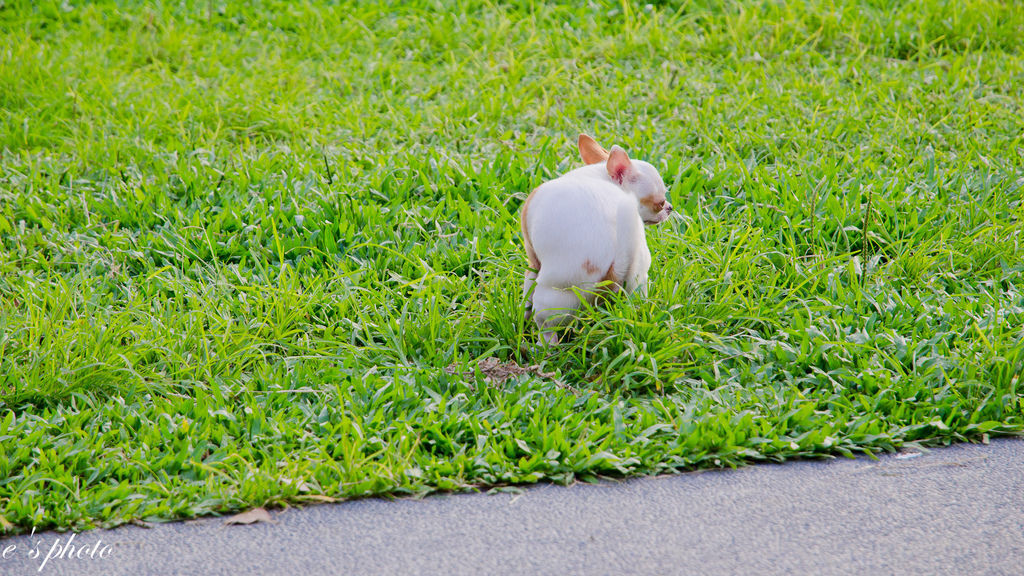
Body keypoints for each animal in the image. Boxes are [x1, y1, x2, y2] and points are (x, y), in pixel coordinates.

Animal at [520, 134, 671, 342]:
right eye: (660, 203)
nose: (670, 208)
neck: (598, 175)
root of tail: (616, 265)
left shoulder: (533, 261)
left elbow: (527, 292)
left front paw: (522, 319)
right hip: (637, 286)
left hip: (551, 301)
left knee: (548, 333)